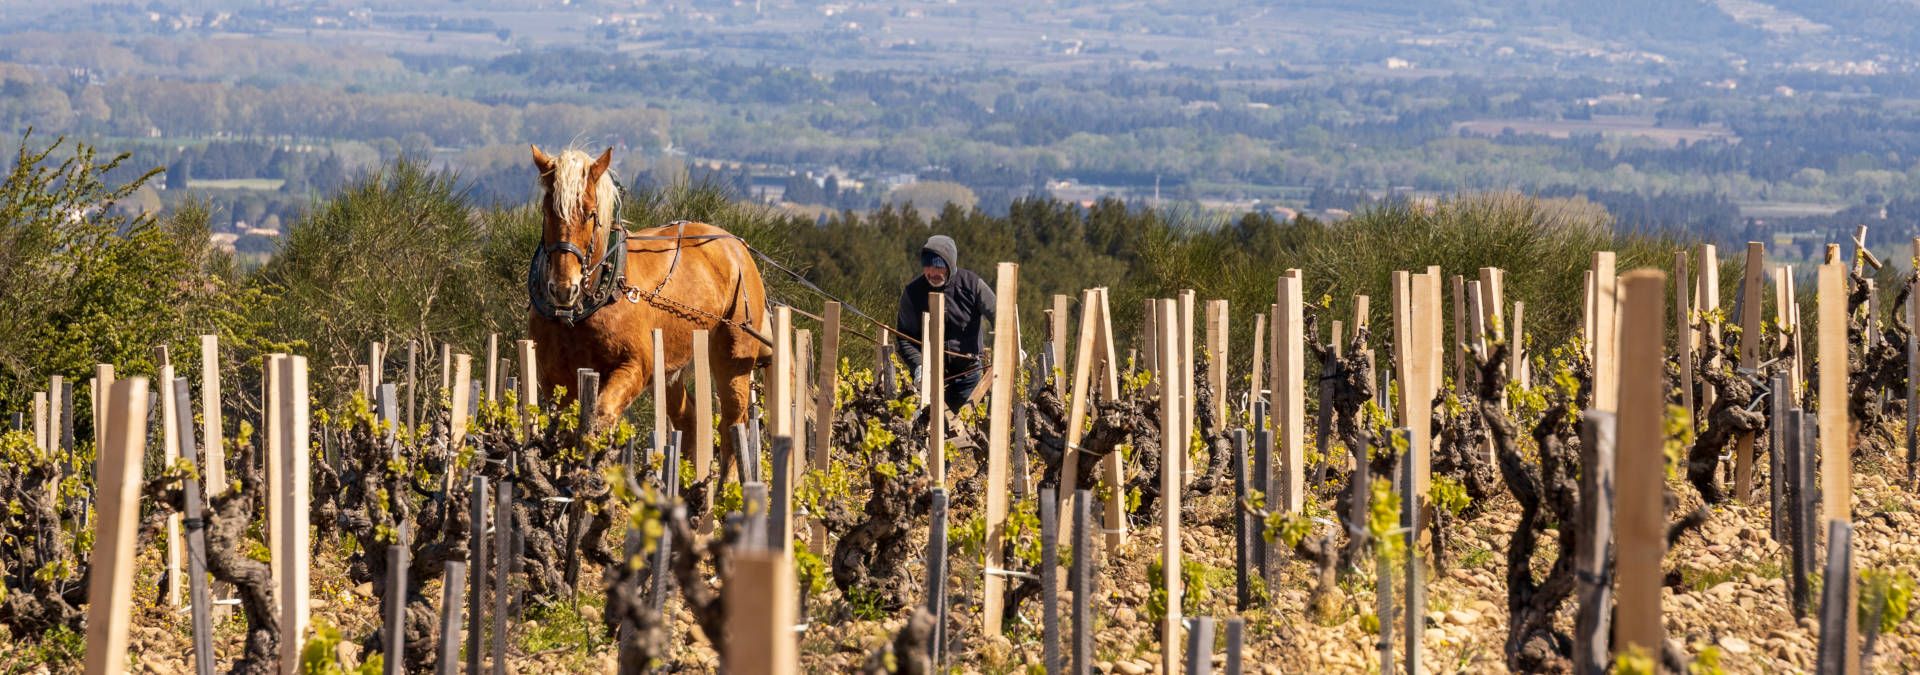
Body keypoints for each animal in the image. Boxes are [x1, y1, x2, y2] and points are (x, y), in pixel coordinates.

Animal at [526, 147, 771, 475]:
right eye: (547, 212)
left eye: (590, 213)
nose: (563, 289)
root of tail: (735, 246)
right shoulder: (555, 378)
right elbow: (565, 431)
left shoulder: (635, 367)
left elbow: (601, 417)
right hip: (670, 368)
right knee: (689, 419)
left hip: (733, 356)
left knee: (734, 425)